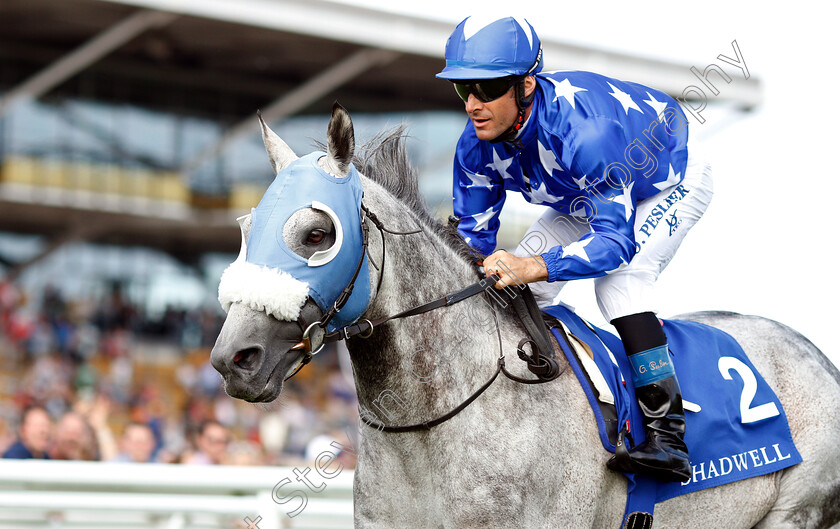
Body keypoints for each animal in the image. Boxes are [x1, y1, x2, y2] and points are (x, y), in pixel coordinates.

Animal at [210, 105, 840, 524]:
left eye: (317, 234)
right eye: (243, 228)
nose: (233, 360)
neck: (432, 426)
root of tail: (814, 353)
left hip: (797, 510)